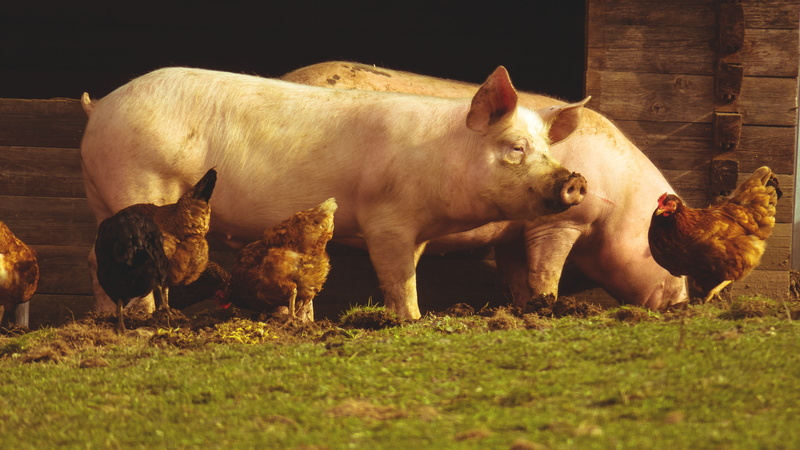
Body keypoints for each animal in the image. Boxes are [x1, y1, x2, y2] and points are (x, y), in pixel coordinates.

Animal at [80, 66, 589, 320]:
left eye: (546, 148)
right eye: (516, 148)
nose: (574, 179)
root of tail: (102, 105)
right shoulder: (387, 220)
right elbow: (399, 277)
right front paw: (410, 320)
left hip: (100, 195)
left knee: (94, 256)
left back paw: (106, 319)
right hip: (138, 180)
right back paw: (142, 320)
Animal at [281, 61, 688, 310]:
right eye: (659, 251)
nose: (684, 303)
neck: (619, 198)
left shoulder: (512, 234)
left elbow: (518, 276)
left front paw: (524, 310)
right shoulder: (560, 222)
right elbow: (547, 270)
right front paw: (548, 306)